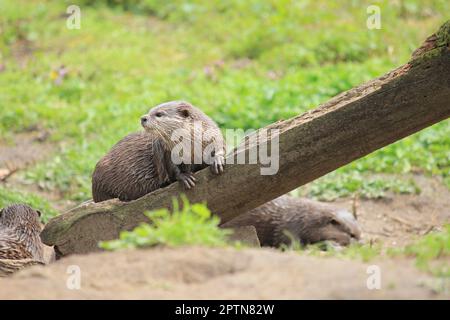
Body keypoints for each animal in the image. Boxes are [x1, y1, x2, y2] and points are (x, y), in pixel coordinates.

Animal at [92, 101, 225, 202]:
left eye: (159, 114)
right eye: (149, 111)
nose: (143, 118)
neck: (191, 149)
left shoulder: (212, 134)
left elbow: (220, 144)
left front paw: (217, 160)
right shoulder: (165, 151)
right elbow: (171, 168)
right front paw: (184, 176)